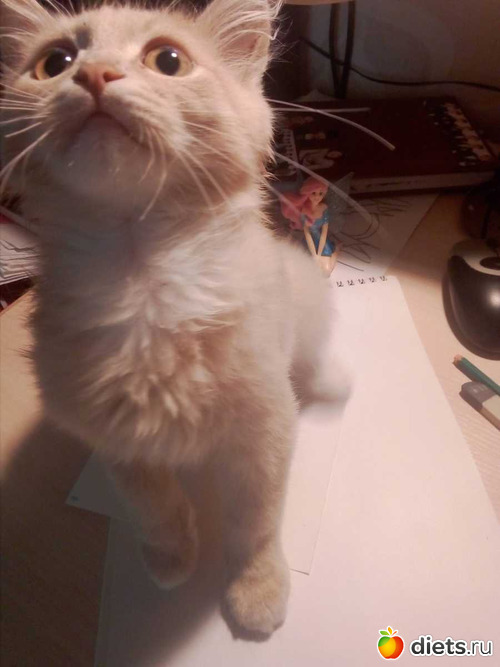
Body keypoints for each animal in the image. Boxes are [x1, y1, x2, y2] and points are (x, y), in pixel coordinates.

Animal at [1, 0, 345, 635]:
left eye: (168, 60)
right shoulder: (116, 437)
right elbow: (151, 504)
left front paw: (256, 587)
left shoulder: (265, 428)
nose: (94, 74)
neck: (144, 283)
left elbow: (256, 521)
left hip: (303, 294)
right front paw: (171, 555)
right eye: (55, 62)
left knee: (314, 349)